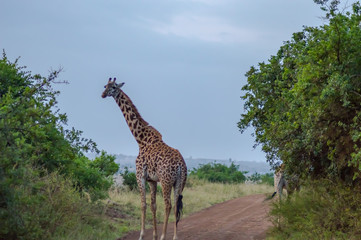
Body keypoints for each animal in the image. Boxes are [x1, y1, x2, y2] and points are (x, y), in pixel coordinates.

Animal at [100, 78, 187, 240]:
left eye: (113, 87)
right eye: (105, 86)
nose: (103, 94)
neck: (141, 140)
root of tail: (180, 165)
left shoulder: (140, 175)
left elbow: (143, 204)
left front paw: (142, 235)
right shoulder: (152, 180)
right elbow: (153, 205)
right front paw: (153, 235)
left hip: (166, 181)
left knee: (168, 205)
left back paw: (164, 236)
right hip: (179, 182)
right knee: (176, 205)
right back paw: (174, 237)